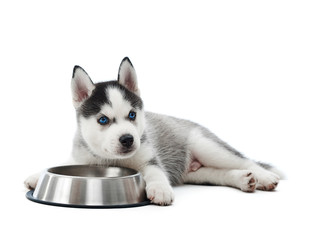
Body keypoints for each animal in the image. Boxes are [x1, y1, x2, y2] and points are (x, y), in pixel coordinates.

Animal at [25, 57, 280, 205]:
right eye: (103, 119)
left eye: (132, 115)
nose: (128, 139)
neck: (110, 158)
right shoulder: (82, 154)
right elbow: (63, 162)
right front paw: (37, 175)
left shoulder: (151, 159)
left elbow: (156, 173)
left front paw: (159, 189)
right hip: (197, 173)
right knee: (219, 173)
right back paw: (244, 179)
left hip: (207, 146)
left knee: (243, 160)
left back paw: (264, 177)